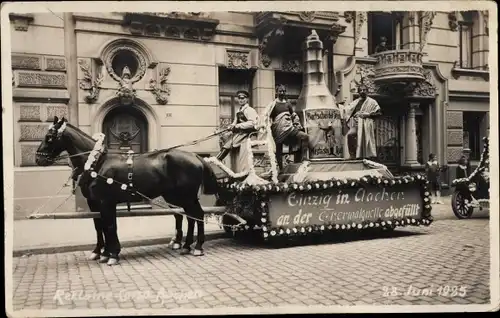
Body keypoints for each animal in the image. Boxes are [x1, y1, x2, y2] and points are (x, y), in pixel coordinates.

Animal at [36, 115, 220, 264]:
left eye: (49, 137)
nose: (38, 159)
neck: (97, 162)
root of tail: (196, 156)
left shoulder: (106, 201)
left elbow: (110, 226)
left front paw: (111, 254)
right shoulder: (94, 202)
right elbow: (99, 226)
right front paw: (100, 252)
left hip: (186, 196)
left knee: (198, 215)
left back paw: (198, 246)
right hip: (176, 196)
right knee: (189, 216)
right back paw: (187, 245)